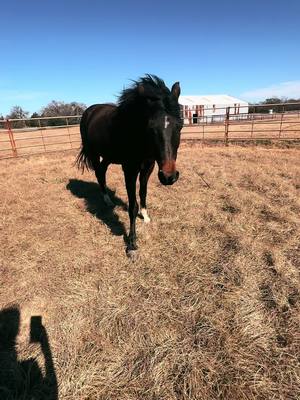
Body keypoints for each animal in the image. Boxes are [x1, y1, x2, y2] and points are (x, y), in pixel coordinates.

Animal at [76, 74, 183, 256]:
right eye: (150, 128)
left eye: (180, 125)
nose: (169, 177)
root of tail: (90, 110)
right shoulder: (129, 171)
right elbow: (132, 205)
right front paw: (132, 243)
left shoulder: (148, 167)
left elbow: (143, 193)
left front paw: (145, 216)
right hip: (94, 154)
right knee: (99, 173)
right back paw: (107, 201)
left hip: (108, 156)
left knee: (102, 171)